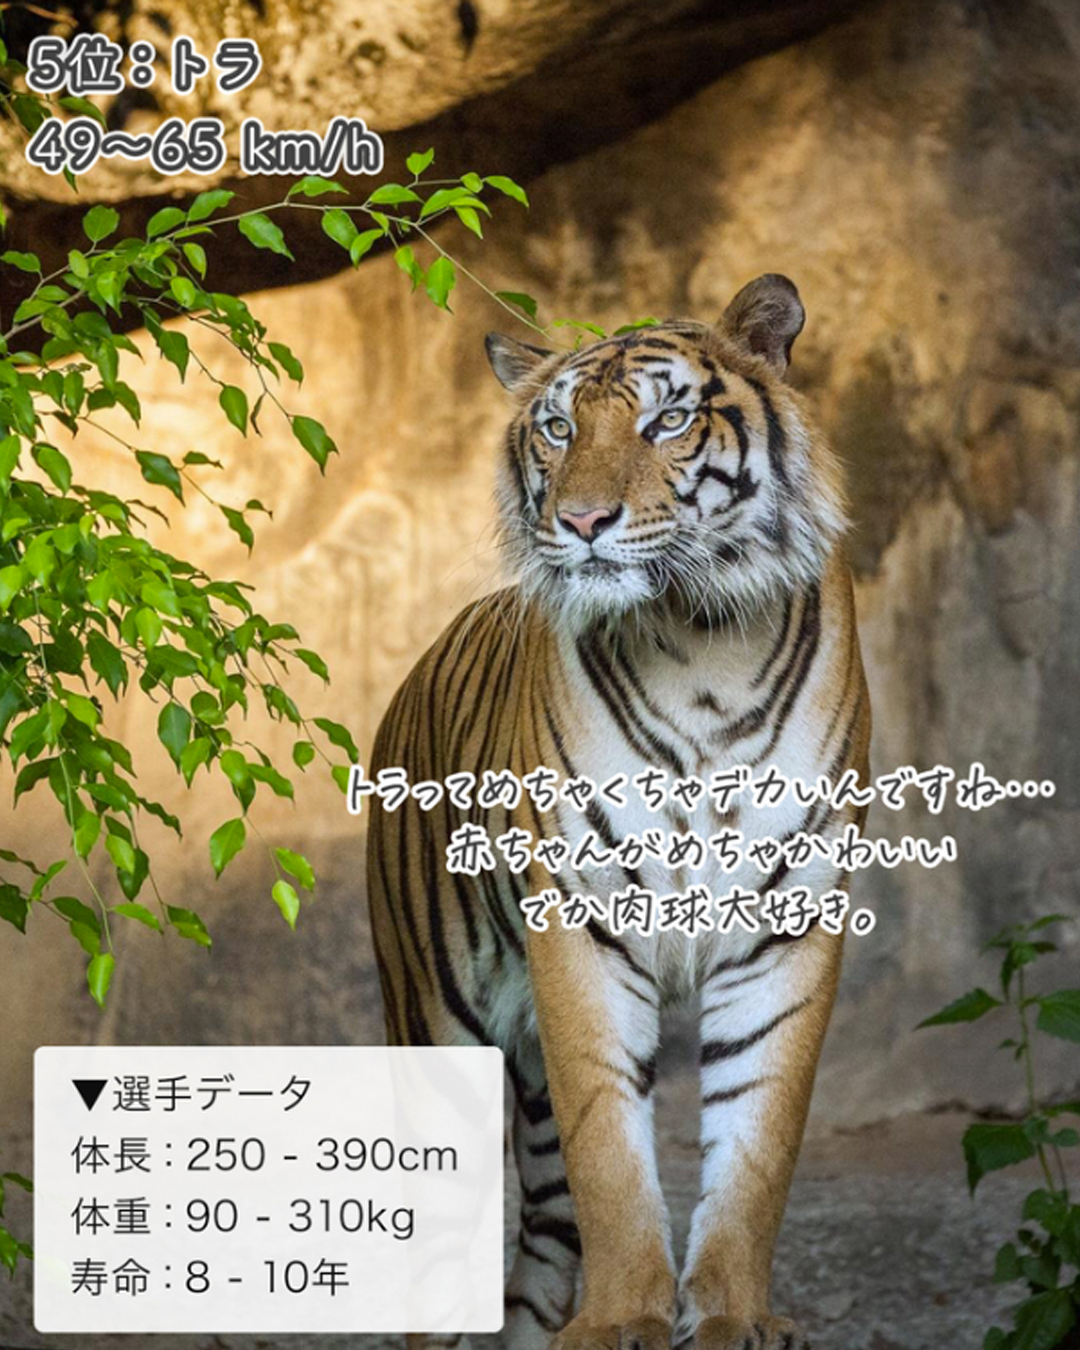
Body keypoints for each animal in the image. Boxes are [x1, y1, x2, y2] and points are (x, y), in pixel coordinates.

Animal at [366, 274, 871, 1350]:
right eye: (558, 428)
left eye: (668, 420)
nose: (584, 520)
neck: (702, 645)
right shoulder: (582, 921)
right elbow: (610, 1147)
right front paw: (627, 1316)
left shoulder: (789, 924)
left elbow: (758, 1138)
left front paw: (731, 1314)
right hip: (434, 1028)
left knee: (545, 1232)